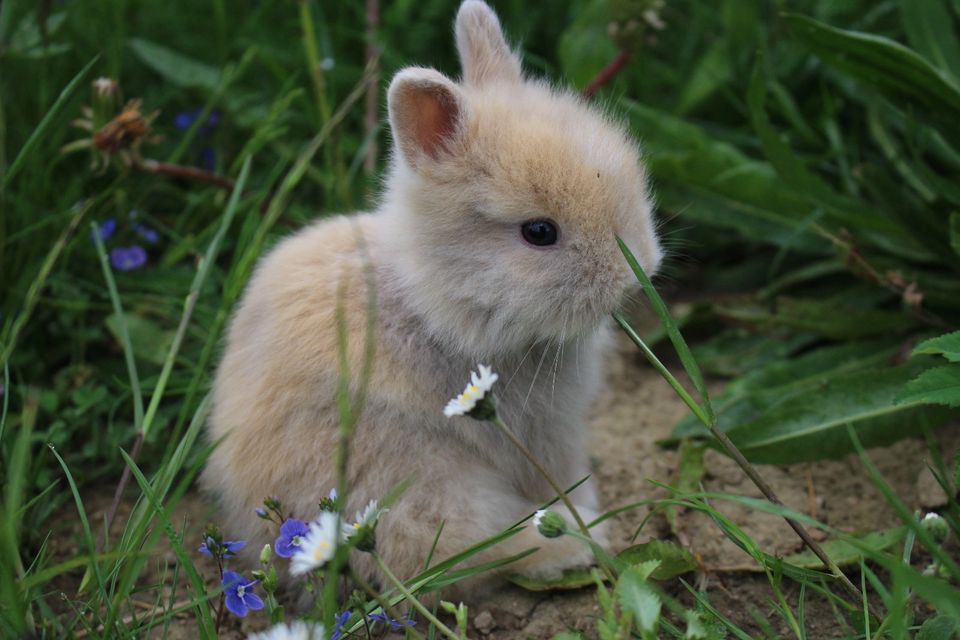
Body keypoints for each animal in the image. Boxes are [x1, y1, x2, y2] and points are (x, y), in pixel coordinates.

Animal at [202, 0, 660, 596]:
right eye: (539, 232)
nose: (638, 273)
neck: (434, 303)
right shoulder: (542, 438)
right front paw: (586, 516)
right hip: (418, 484)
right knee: (462, 553)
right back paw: (577, 545)